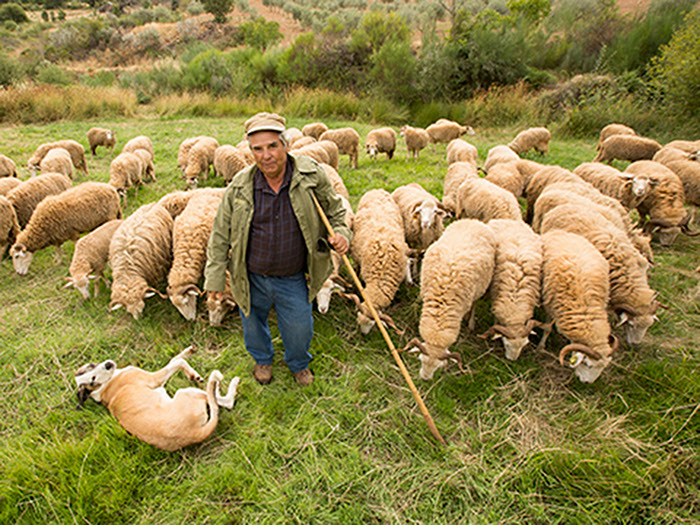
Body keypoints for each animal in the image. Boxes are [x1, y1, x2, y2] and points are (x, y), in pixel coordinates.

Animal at [75, 346, 240, 451]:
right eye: (92, 380)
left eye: (91, 365)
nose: (109, 364)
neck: (103, 386)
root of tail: (194, 434)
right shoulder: (154, 379)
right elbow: (178, 362)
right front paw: (192, 373)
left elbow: (174, 359)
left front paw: (188, 353)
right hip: (186, 392)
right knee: (223, 401)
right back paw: (226, 384)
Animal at [404, 219, 496, 380]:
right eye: (421, 359)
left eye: (438, 367)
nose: (425, 379)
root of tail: (472, 220)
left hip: (479, 288)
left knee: (474, 304)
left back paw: (470, 322)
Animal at [540, 229, 617, 384]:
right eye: (587, 364)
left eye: (603, 367)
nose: (586, 383)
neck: (586, 309)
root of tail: (559, 231)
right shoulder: (549, 305)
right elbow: (547, 328)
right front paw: (541, 346)